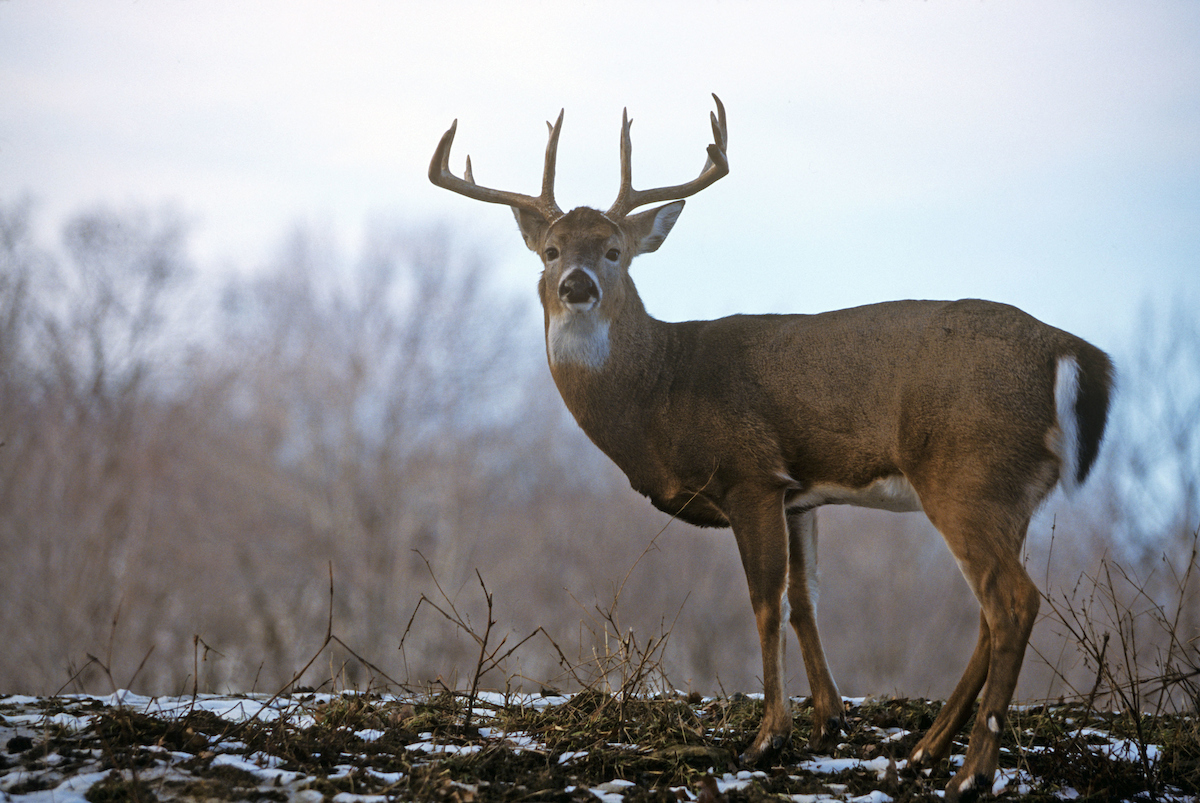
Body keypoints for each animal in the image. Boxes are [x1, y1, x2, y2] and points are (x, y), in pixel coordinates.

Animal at [427, 97, 1108, 796]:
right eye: (551, 251)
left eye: (615, 251)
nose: (577, 284)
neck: (660, 391)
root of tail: (1070, 350)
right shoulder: (797, 494)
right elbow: (805, 599)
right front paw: (827, 721)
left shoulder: (749, 475)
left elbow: (764, 602)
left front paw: (767, 737)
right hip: (1011, 494)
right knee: (989, 610)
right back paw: (924, 751)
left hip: (968, 474)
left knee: (1012, 601)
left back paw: (969, 773)